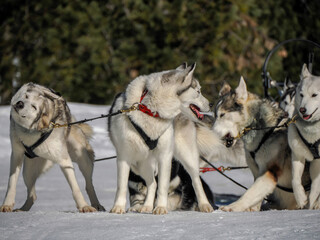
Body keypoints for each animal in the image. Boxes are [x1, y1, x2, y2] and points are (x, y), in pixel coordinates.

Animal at [0, 83, 104, 212]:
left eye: (34, 107)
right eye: (26, 96)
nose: (20, 104)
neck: (31, 132)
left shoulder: (65, 161)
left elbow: (75, 187)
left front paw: (84, 206)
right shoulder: (16, 155)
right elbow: (11, 183)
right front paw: (7, 204)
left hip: (83, 160)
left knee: (89, 185)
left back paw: (96, 204)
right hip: (28, 172)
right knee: (32, 194)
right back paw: (23, 209)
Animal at [108, 63, 215, 214]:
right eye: (198, 91)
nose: (211, 104)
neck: (150, 110)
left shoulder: (165, 156)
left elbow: (163, 187)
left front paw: (160, 207)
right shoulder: (124, 156)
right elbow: (121, 186)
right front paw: (118, 207)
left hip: (187, 156)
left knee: (196, 180)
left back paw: (205, 205)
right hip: (141, 165)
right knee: (152, 184)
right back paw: (146, 206)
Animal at [212, 77, 310, 212]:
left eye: (222, 114)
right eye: (215, 115)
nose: (211, 134)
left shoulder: (269, 172)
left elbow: (249, 193)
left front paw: (232, 206)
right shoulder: (257, 172)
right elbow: (255, 199)